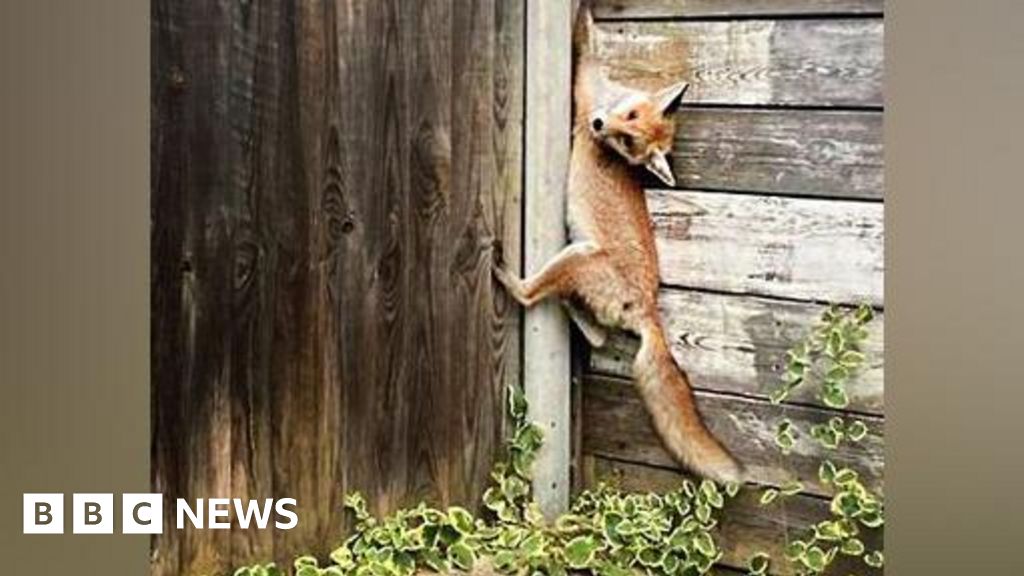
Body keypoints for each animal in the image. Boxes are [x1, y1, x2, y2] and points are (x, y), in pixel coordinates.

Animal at [493, 5, 743, 483]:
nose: (598, 125)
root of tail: (647, 306)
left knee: (532, 297)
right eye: (629, 119)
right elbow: (589, 36)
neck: (603, 102)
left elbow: (583, 42)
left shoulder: (582, 87)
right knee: (596, 338)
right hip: (579, 273)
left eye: (627, 139)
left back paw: (504, 272)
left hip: (578, 256)